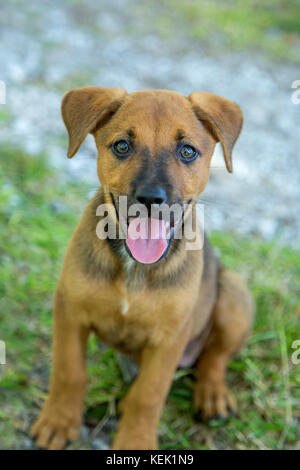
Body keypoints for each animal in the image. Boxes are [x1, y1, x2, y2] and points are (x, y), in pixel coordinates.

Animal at [30, 86, 254, 450]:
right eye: (122, 146)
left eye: (187, 151)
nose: (151, 199)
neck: (134, 268)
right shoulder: (69, 311)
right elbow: (69, 371)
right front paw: (59, 421)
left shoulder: (169, 339)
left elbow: (148, 395)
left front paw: (134, 440)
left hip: (234, 294)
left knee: (215, 357)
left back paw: (213, 395)